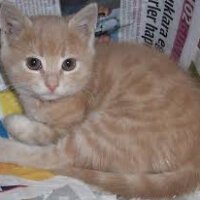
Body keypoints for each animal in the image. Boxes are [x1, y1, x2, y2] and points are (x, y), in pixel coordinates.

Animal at [0, 1, 200, 198]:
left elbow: (43, 134)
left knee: (56, 157)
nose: (52, 84)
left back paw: (7, 145)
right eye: (33, 63)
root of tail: (194, 157)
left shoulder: (67, 126)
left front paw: (15, 122)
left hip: (112, 126)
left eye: (69, 64)